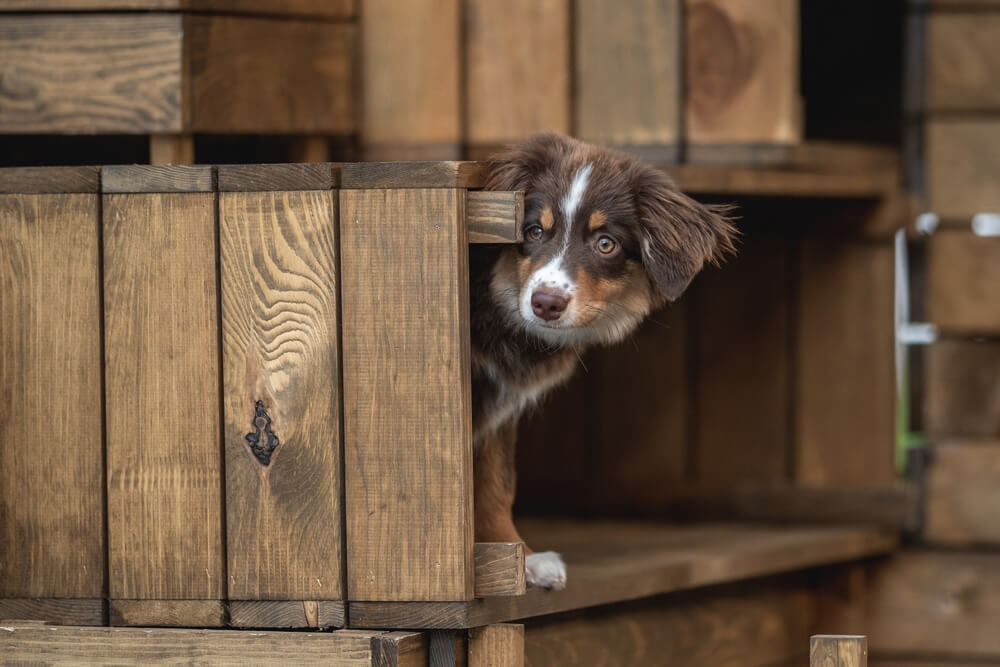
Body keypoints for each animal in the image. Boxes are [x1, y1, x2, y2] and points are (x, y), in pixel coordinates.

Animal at [468, 133, 736, 592]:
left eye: (605, 243)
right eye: (533, 230)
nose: (546, 303)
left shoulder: (499, 407)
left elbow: (495, 485)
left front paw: (522, 560)